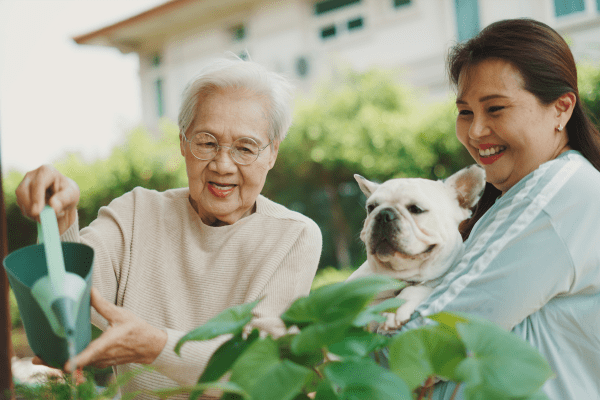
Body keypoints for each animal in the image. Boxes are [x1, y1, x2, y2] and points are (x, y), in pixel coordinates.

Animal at [350, 164, 486, 330]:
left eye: (416, 209)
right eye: (370, 207)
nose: (383, 214)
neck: (400, 276)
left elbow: (419, 288)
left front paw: (396, 309)